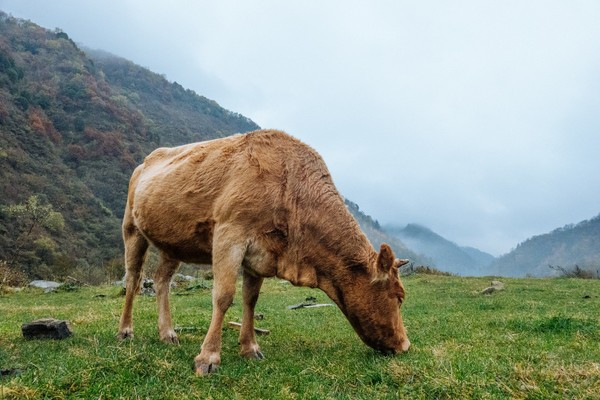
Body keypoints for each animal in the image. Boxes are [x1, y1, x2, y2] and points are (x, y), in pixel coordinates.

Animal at [117, 129, 410, 376]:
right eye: (399, 297)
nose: (405, 345)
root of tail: (145, 161)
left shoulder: (261, 253)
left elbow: (251, 299)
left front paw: (250, 348)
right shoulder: (229, 234)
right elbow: (223, 296)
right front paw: (208, 357)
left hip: (174, 243)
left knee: (161, 280)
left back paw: (167, 333)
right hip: (131, 228)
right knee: (133, 278)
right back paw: (125, 330)